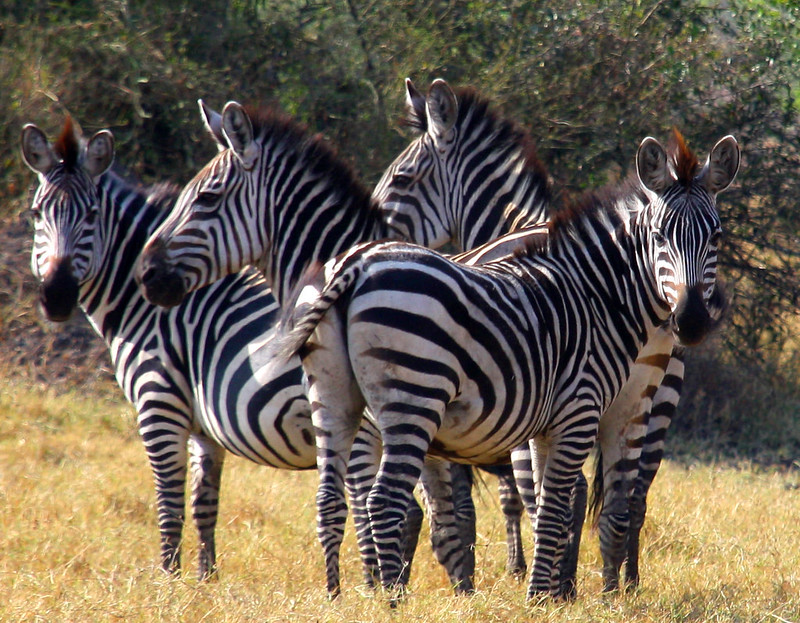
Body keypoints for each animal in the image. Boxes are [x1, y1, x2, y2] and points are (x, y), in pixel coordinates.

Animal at [278, 130, 740, 600]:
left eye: (717, 237)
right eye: (660, 236)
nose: (691, 320)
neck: (598, 296)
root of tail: (353, 266)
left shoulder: (549, 424)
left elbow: (545, 503)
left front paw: (548, 593)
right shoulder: (578, 411)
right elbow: (548, 506)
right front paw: (540, 595)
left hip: (336, 400)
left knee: (332, 498)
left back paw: (342, 597)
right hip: (413, 399)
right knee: (384, 500)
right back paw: (392, 600)